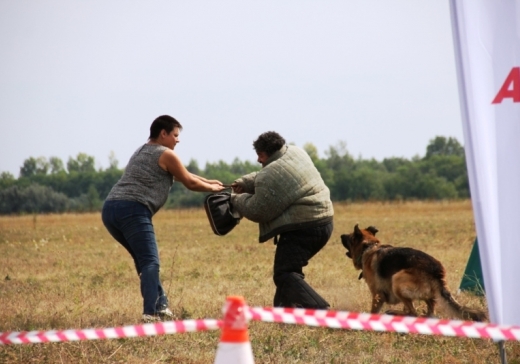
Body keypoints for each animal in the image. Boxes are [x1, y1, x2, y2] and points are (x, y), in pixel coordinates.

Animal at [342, 225, 488, 322]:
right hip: (426, 293)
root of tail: (437, 271)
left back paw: (394, 312)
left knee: (413, 312)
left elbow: (374, 310)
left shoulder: (377, 295)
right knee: (428, 311)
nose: (341, 235)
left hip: (397, 280)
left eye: (350, 237)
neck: (369, 247)